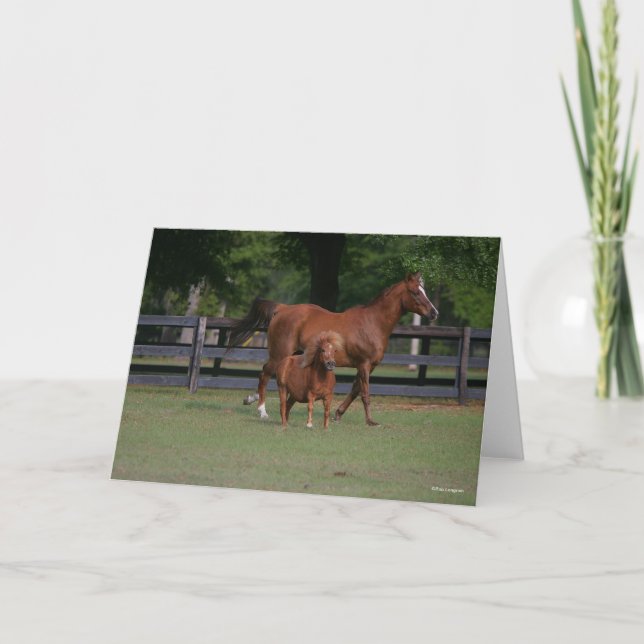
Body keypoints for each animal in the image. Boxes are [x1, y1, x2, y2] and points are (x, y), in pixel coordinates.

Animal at [228, 272, 438, 426]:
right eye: (415, 292)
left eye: (424, 291)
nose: (434, 313)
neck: (372, 323)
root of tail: (283, 308)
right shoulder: (364, 364)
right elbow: (365, 393)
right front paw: (371, 421)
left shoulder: (368, 366)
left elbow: (355, 389)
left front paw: (338, 414)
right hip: (280, 354)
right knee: (264, 374)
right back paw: (261, 410)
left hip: (294, 355)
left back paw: (253, 400)